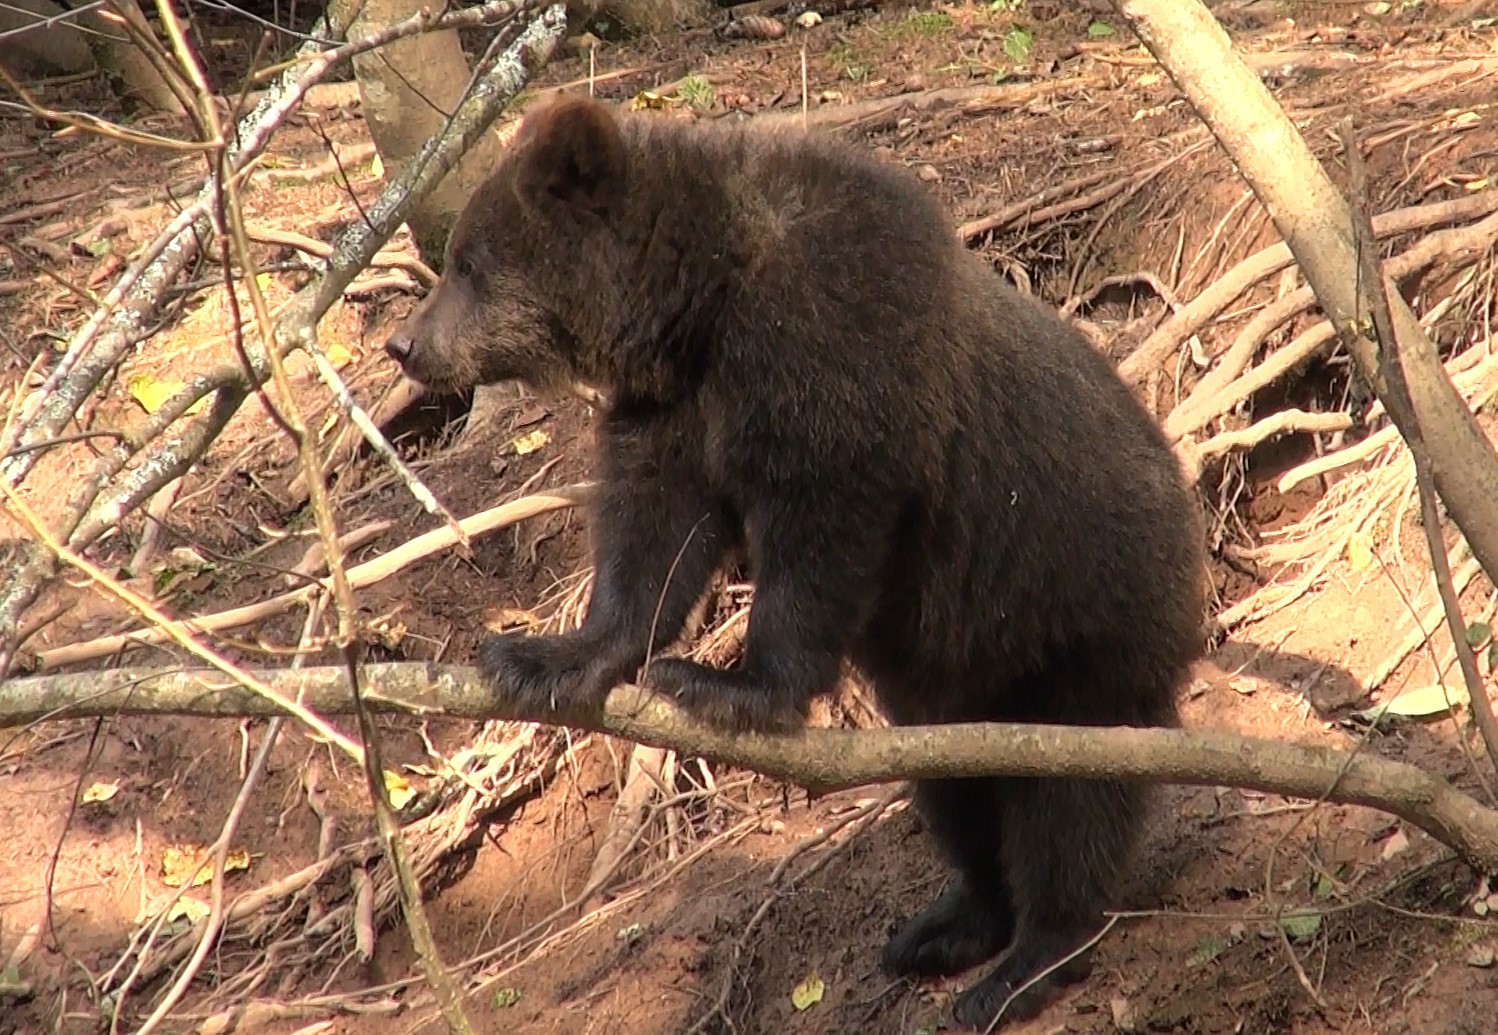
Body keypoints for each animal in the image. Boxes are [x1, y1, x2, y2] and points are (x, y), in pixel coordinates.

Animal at [386, 93, 1204, 1030]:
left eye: (468, 262)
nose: (404, 345)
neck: (701, 307)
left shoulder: (834, 356)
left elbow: (819, 537)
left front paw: (724, 682)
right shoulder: (675, 409)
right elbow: (649, 535)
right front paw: (546, 656)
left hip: (1085, 621)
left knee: (1071, 799)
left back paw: (1027, 962)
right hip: (956, 686)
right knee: (953, 788)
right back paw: (946, 925)